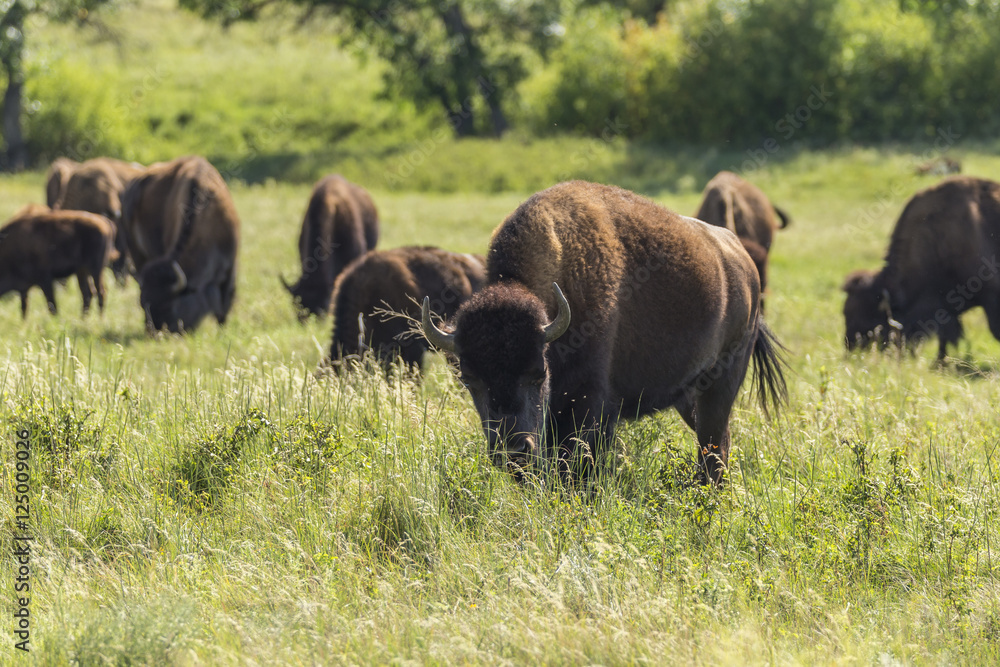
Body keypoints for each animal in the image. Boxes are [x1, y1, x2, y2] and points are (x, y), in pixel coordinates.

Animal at [121, 156, 240, 333]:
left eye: (170, 305)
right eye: (142, 304)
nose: (156, 332)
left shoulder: (230, 267)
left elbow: (224, 305)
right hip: (137, 253)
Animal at [422, 181, 787, 484]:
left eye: (538, 374)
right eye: (469, 379)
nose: (513, 451)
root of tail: (741, 260)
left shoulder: (590, 407)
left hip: (722, 379)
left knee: (713, 445)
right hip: (688, 394)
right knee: (717, 441)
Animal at [842, 176, 1000, 360]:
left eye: (868, 313)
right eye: (846, 312)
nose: (849, 347)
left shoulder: (991, 295)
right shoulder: (946, 304)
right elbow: (945, 335)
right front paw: (939, 362)